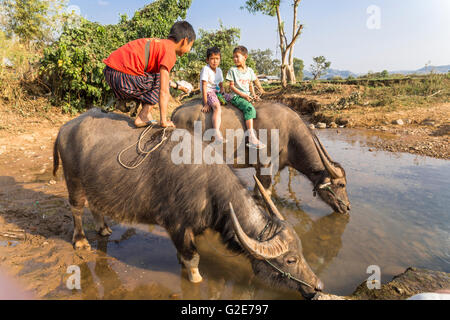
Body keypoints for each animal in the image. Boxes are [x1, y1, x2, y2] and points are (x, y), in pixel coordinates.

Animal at [53, 109, 324, 298]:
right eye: (290, 260)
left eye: (301, 252)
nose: (317, 285)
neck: (207, 186)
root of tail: (66, 128)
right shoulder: (177, 226)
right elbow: (193, 260)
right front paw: (195, 280)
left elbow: (185, 257)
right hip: (73, 180)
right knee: (76, 208)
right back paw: (81, 240)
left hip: (96, 183)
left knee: (96, 205)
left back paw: (103, 229)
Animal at [172, 99, 352, 215]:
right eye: (341, 185)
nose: (348, 207)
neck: (289, 136)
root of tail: (176, 111)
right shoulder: (266, 166)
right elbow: (266, 193)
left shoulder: (261, 169)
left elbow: (258, 193)